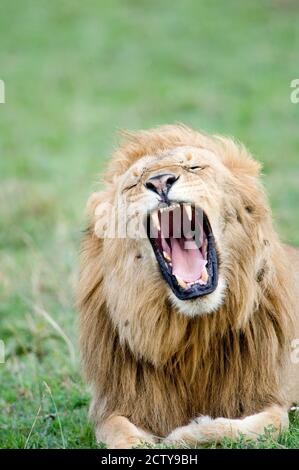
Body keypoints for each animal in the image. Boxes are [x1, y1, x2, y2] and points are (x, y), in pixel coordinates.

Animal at [78, 124, 299, 448]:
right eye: (134, 183)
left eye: (194, 167)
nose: (160, 182)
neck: (192, 334)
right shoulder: (113, 404)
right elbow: (120, 433)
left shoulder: (274, 398)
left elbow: (262, 425)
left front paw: (183, 435)